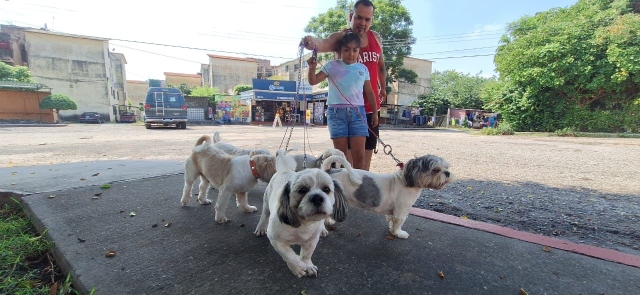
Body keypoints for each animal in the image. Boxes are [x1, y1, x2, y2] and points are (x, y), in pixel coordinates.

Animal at [320, 155, 456, 240]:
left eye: (447, 168)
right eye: (436, 170)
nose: (447, 173)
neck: (405, 181)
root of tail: (328, 172)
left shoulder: (393, 211)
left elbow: (391, 220)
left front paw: (391, 228)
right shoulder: (402, 211)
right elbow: (398, 223)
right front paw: (398, 233)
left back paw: (329, 221)